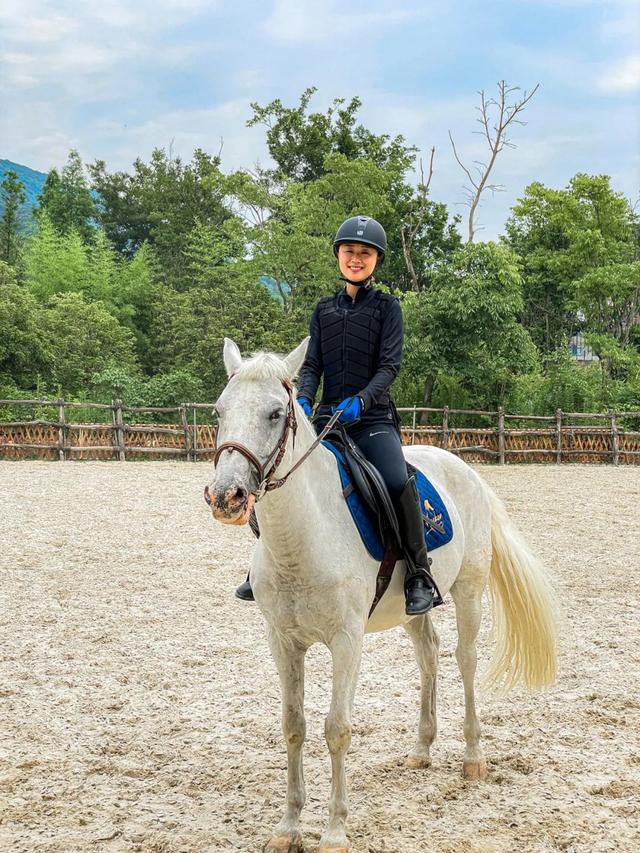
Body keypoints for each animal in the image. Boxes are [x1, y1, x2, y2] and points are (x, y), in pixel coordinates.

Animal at [205, 338, 556, 852]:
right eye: (219, 411)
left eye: (274, 413)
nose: (225, 496)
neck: (301, 540)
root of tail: (462, 466)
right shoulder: (283, 641)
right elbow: (293, 727)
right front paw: (288, 828)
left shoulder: (346, 641)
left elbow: (336, 729)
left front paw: (334, 832)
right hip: (413, 607)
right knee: (429, 655)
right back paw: (421, 749)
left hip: (469, 592)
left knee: (465, 660)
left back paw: (473, 758)